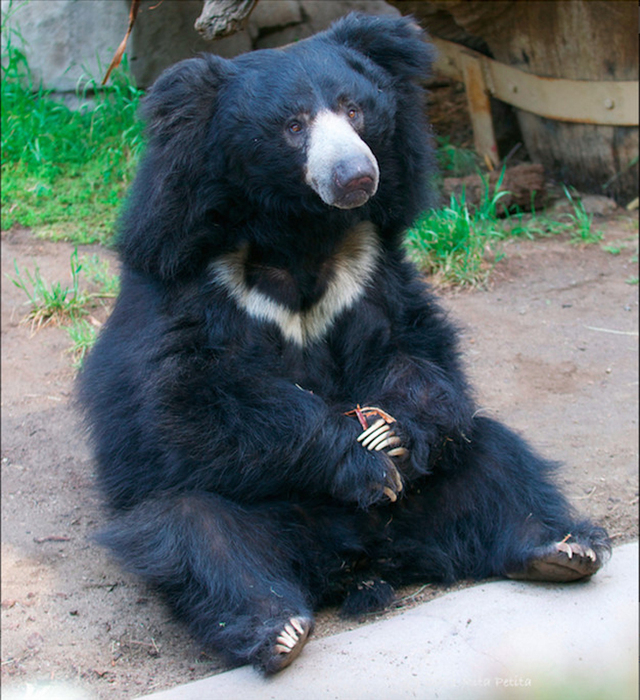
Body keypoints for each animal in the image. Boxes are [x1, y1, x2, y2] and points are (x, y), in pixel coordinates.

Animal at [80, 13, 608, 672]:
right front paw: (362, 458)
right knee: (195, 532)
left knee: (494, 455)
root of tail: (364, 563)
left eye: (354, 109)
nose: (357, 175)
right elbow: (189, 400)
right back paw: (279, 629)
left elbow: (409, 348)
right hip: (241, 519)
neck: (301, 232)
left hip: (435, 495)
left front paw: (394, 434)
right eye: (293, 125)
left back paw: (560, 549)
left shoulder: (368, 265)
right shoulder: (193, 277)